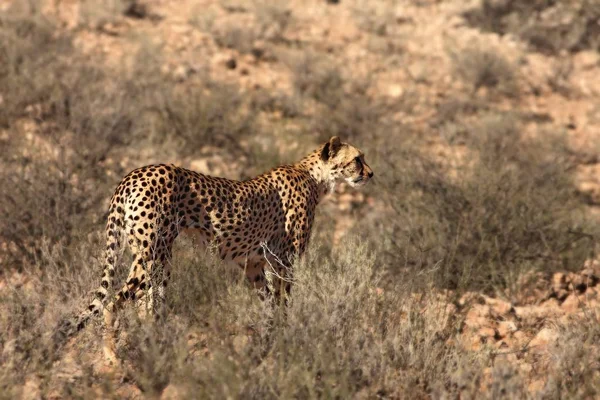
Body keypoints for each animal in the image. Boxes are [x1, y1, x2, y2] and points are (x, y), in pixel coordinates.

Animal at [68, 137, 372, 360]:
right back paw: (113, 359)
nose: (371, 173)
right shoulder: (284, 262)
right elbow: (283, 302)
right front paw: (284, 338)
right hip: (152, 255)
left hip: (158, 257)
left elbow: (269, 305)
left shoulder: (255, 265)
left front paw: (267, 341)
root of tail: (134, 173)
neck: (314, 176)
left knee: (150, 305)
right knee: (114, 304)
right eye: (357, 159)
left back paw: (159, 346)